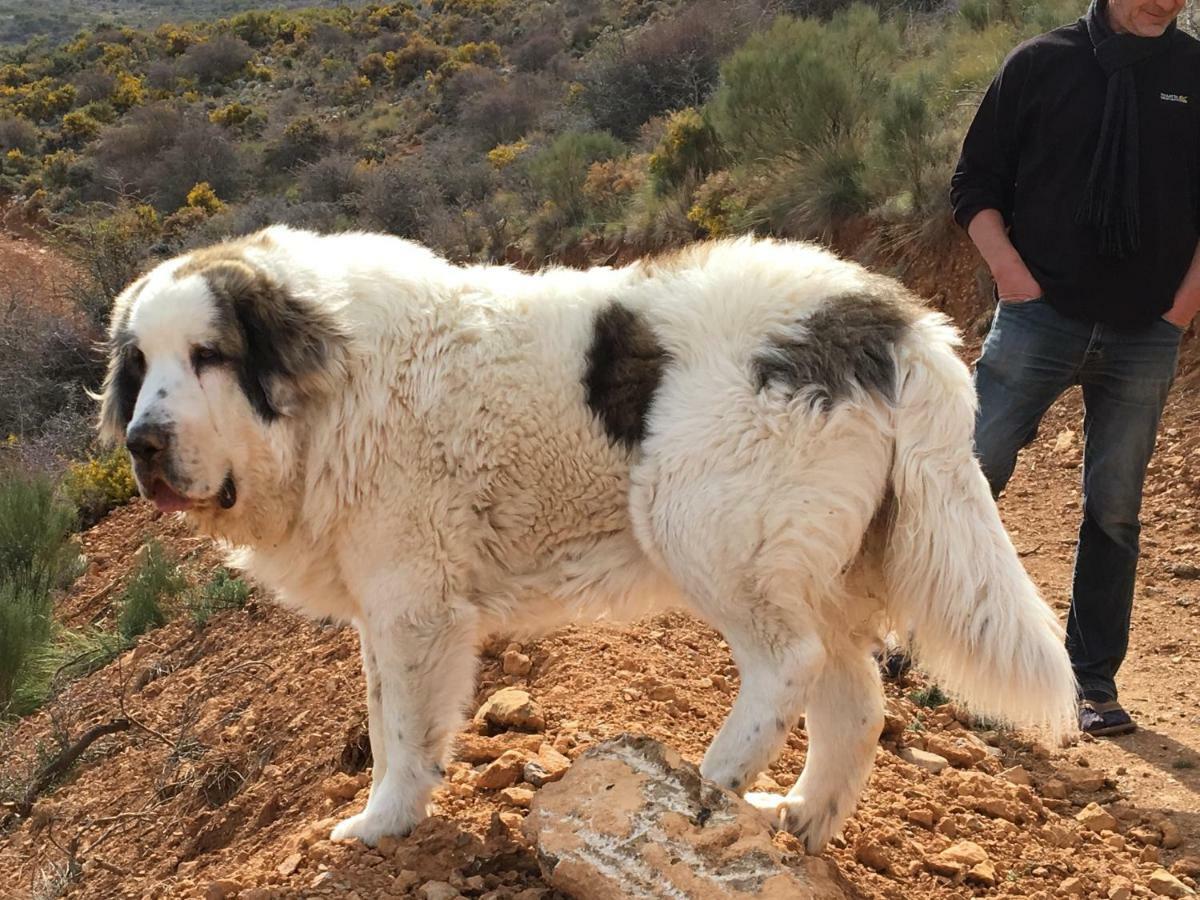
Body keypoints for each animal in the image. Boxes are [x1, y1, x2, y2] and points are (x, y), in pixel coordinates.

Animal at [100, 229, 1080, 854]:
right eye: (140, 366)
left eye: (210, 355)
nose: (142, 443)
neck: (330, 391)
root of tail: (888, 316)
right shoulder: (384, 609)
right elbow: (383, 716)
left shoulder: (412, 606)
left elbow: (402, 731)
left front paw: (382, 825)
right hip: (823, 566)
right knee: (856, 700)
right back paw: (801, 817)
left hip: (705, 527)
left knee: (788, 667)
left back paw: (708, 787)